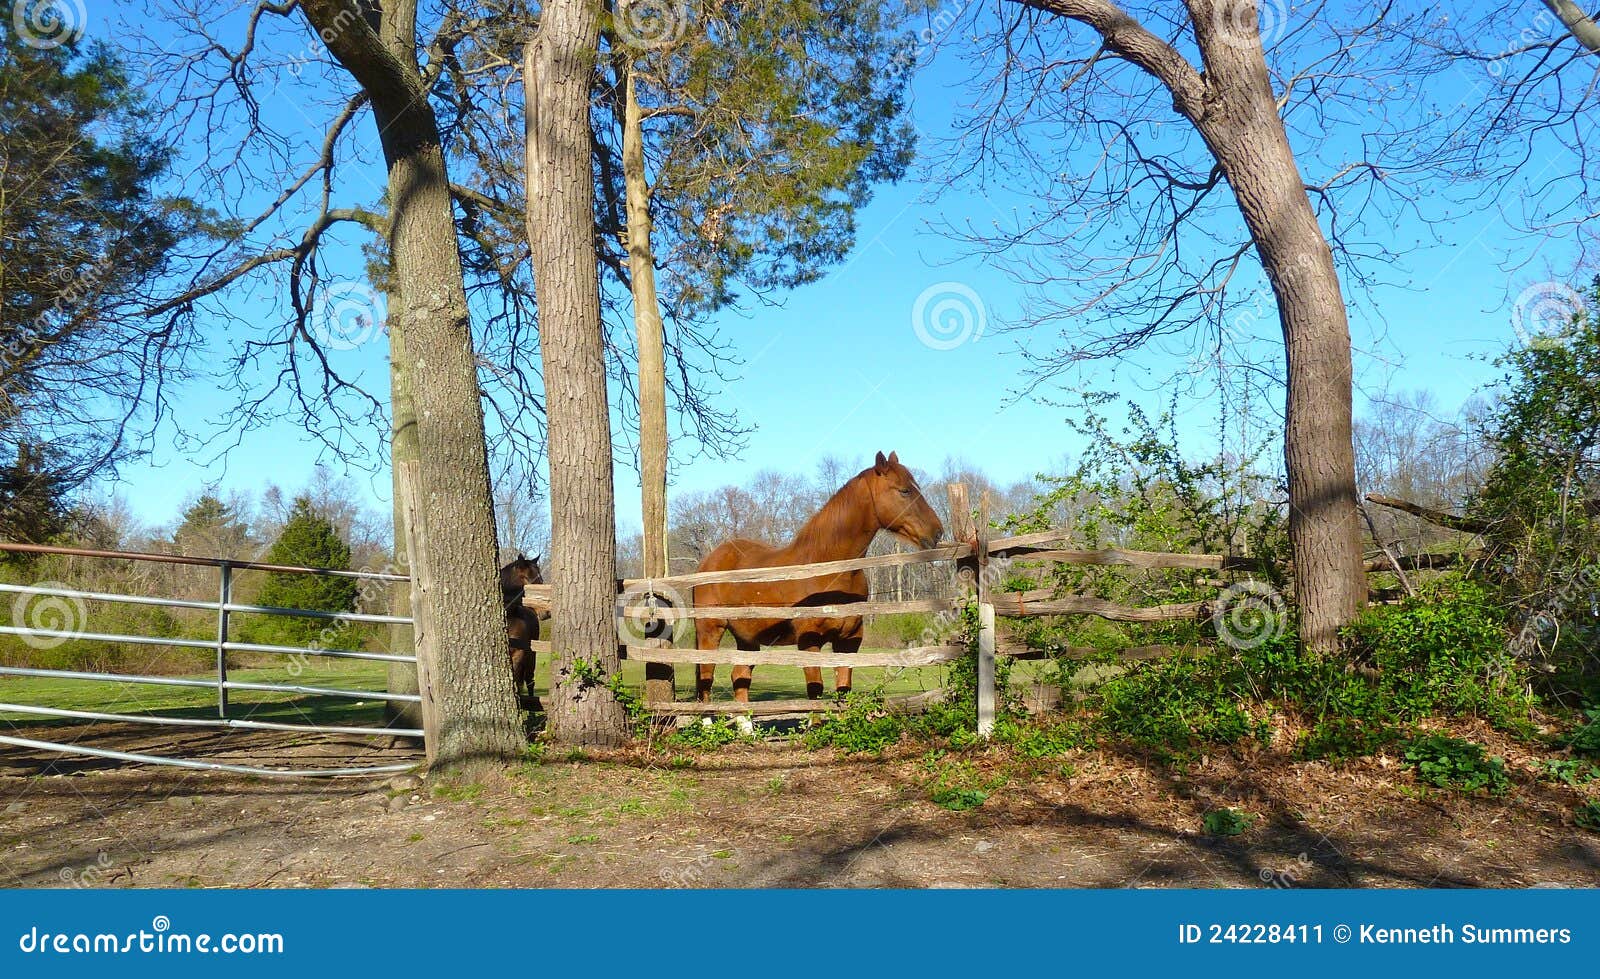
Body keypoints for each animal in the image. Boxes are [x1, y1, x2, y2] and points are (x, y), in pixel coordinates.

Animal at [500, 554, 543, 700]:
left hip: (531, 657)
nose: (546, 612)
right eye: (527, 579)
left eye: (540, 578)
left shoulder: (519, 654)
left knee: (530, 682)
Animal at [693, 451, 944, 702]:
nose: (937, 532)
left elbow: (844, 690)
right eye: (904, 491)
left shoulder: (848, 641)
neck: (832, 572)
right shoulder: (809, 643)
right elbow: (814, 693)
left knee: (740, 678)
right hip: (710, 632)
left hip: (748, 639)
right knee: (706, 680)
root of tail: (708, 561)